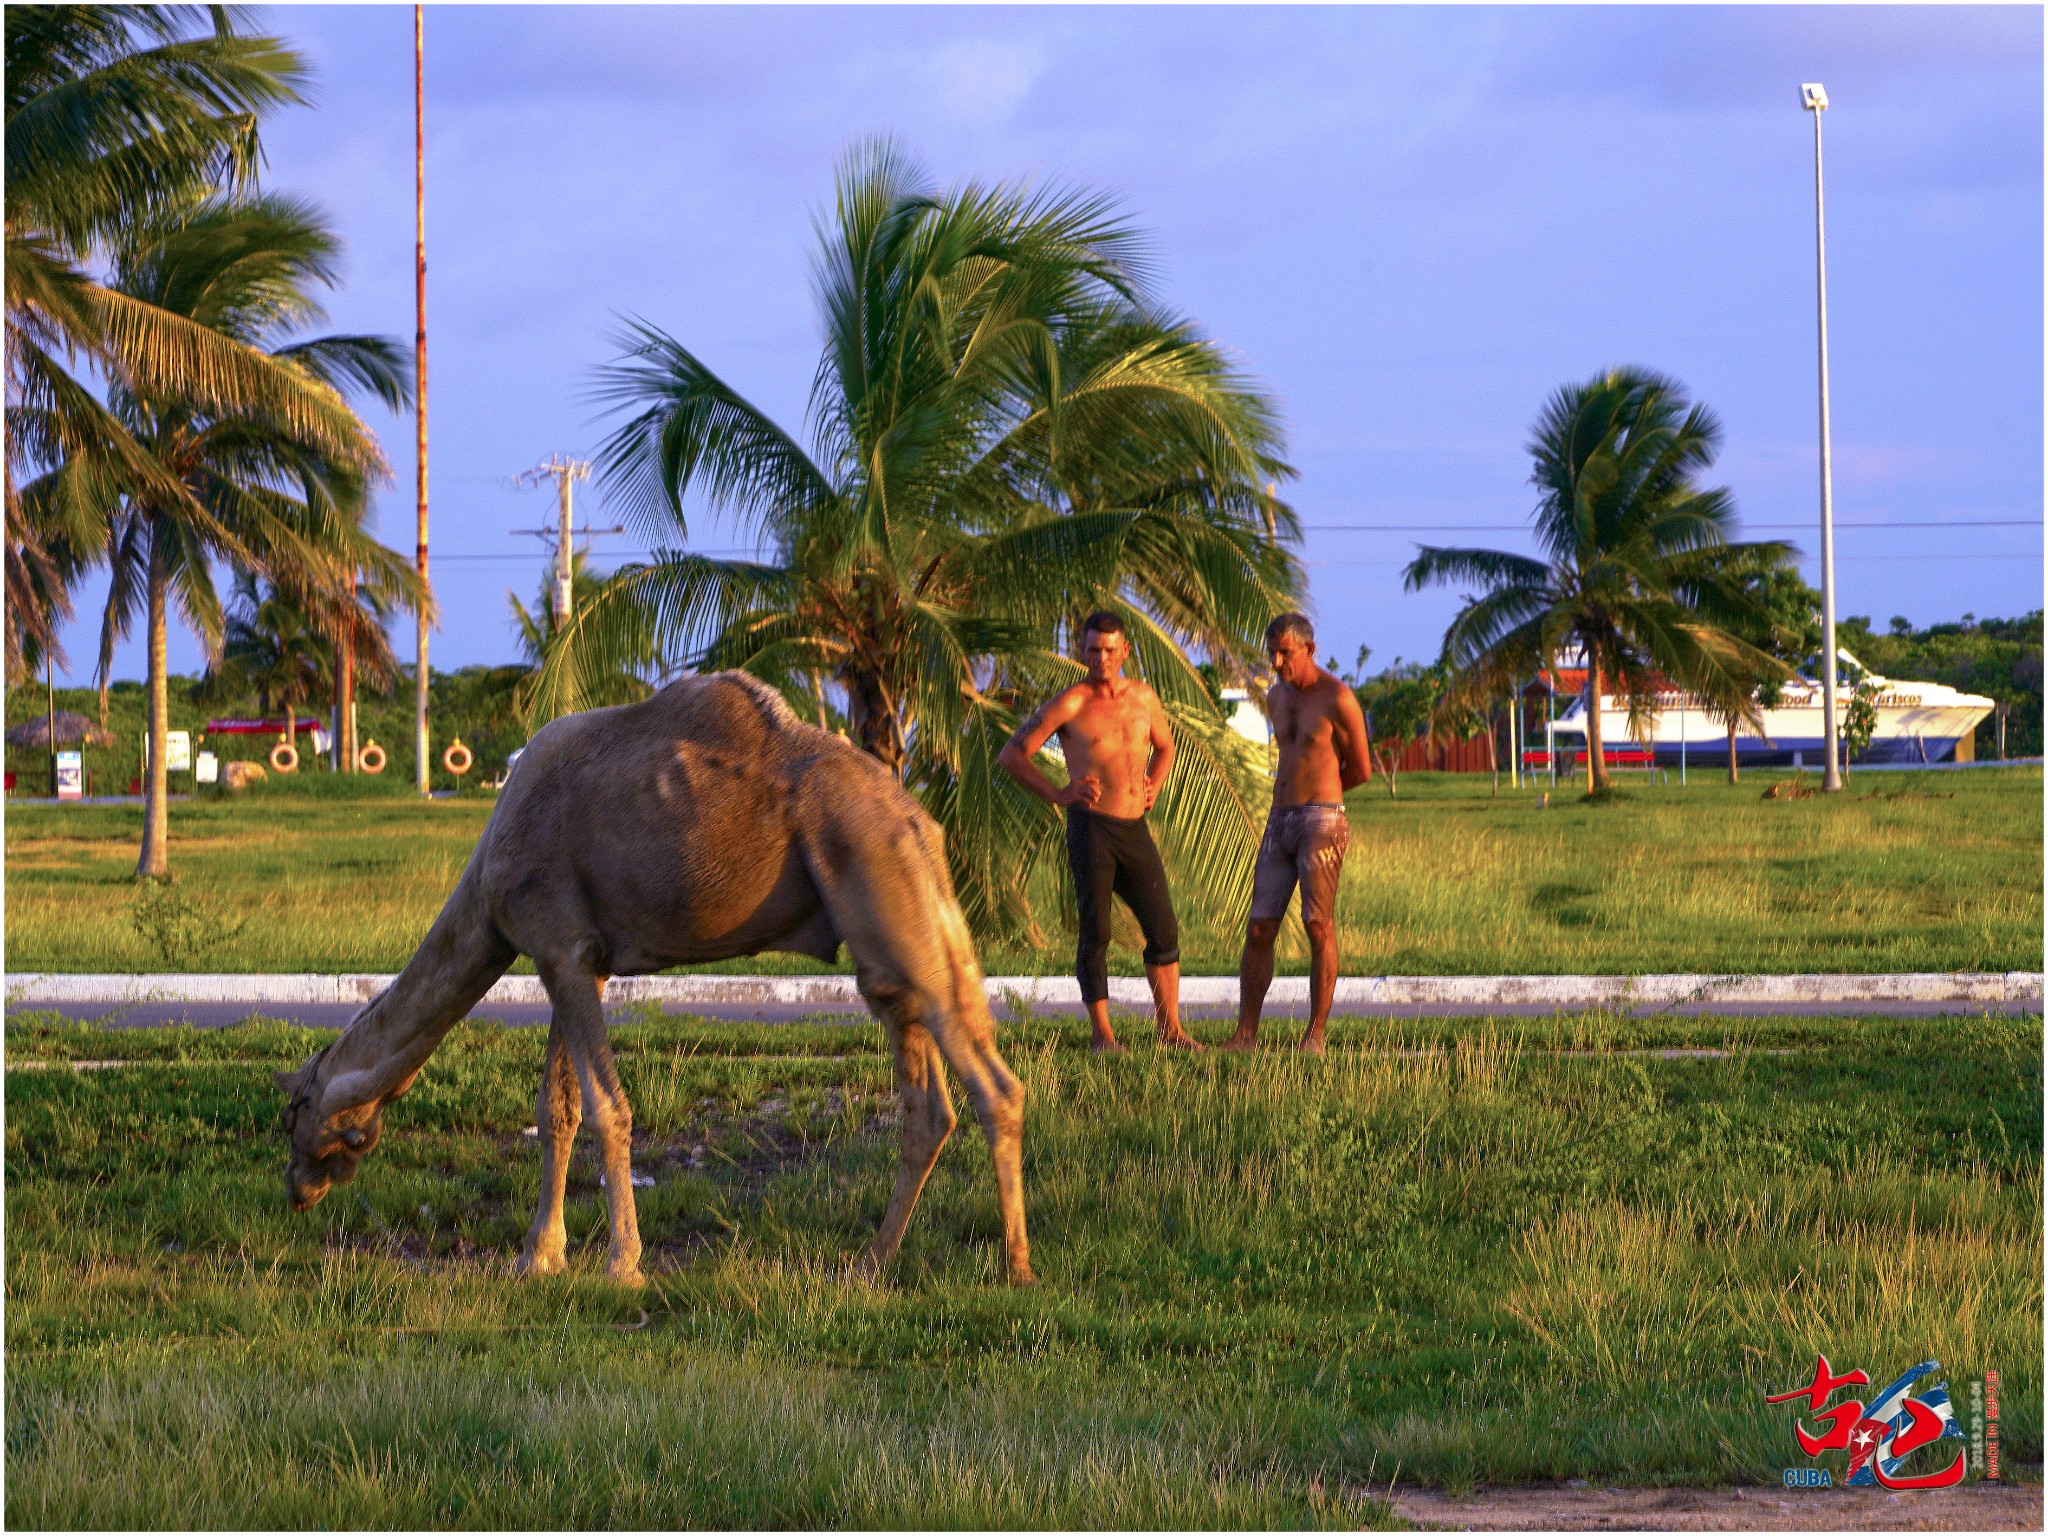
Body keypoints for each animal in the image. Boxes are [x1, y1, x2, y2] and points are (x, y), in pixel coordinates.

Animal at [280, 671, 1032, 1286]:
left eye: (293, 1110)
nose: (295, 1187)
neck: (486, 887)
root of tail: (915, 817)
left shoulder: (559, 946)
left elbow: (607, 1108)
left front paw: (622, 1265)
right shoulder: (573, 961)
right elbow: (556, 1111)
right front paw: (538, 1257)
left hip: (882, 887)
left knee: (992, 1086)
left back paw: (1014, 1269)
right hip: (902, 927)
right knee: (928, 1102)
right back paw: (870, 1263)